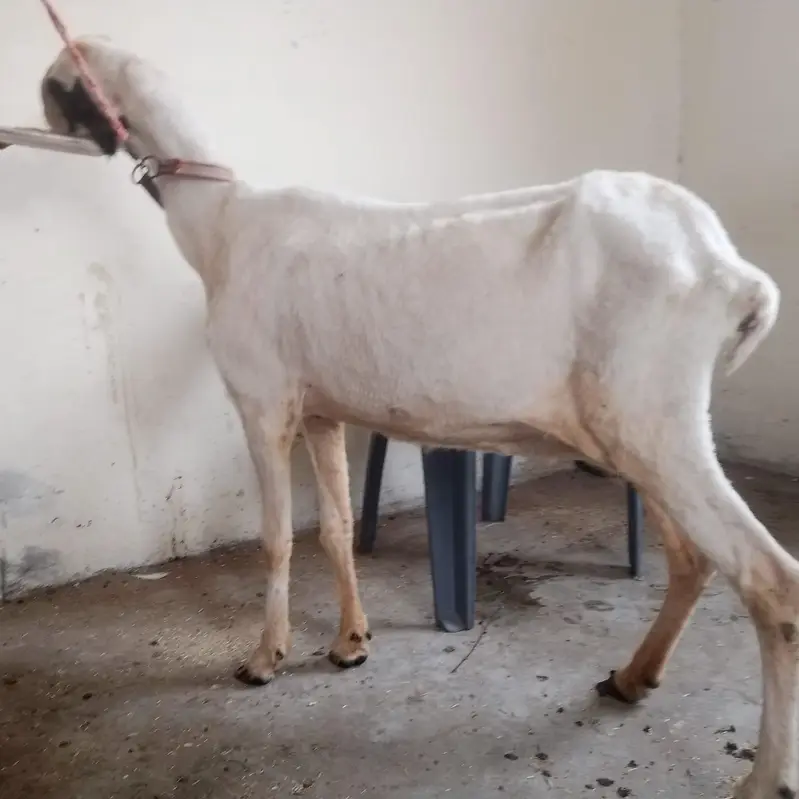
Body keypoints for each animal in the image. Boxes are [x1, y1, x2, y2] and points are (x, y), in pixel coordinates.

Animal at [38, 37, 795, 798]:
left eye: (55, 84)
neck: (222, 221)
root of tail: (729, 269)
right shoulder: (320, 411)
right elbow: (336, 528)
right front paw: (350, 643)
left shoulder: (261, 400)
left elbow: (276, 537)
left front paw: (264, 658)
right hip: (640, 432)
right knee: (693, 559)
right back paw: (633, 677)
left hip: (653, 421)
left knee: (770, 581)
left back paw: (761, 777)